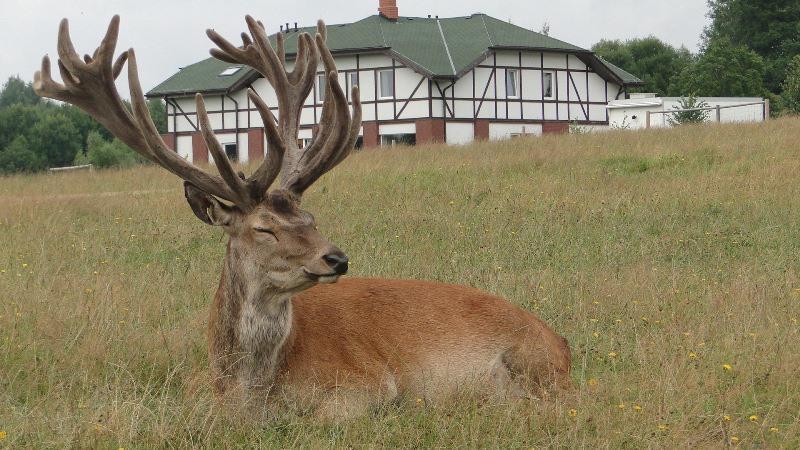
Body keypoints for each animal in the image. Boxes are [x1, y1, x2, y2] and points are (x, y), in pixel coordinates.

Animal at [34, 14, 572, 418]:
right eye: (263, 228)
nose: (337, 258)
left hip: (525, 371)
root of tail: (562, 345)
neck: (247, 387)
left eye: (310, 217)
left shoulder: (367, 384)